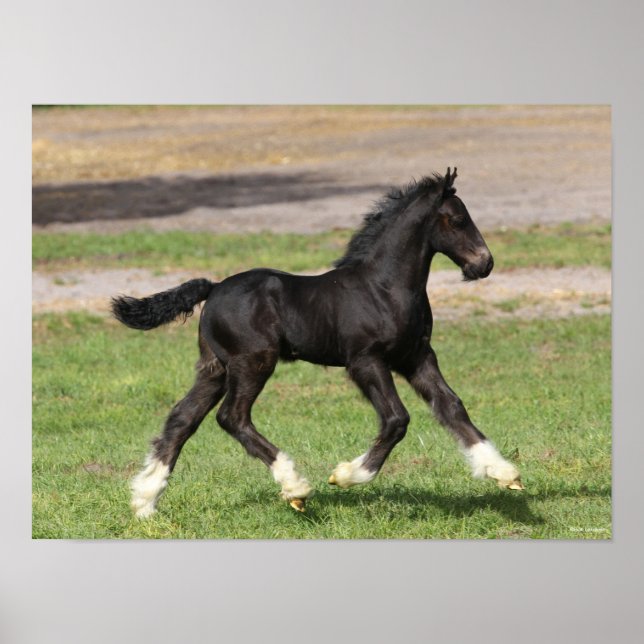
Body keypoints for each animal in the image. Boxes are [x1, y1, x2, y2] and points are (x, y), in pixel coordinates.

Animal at [112, 168, 523, 519]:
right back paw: (294, 487)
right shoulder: (365, 361)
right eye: (457, 219)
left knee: (182, 419)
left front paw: (504, 472)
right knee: (232, 417)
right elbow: (396, 419)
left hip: (215, 367)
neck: (384, 288)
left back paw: (145, 502)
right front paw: (346, 475)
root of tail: (213, 288)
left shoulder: (417, 357)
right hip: (252, 362)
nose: (484, 263)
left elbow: (452, 407)